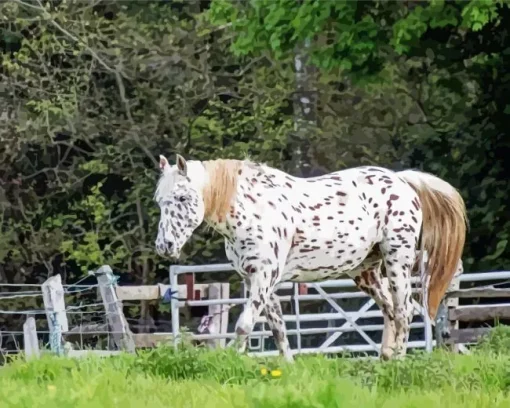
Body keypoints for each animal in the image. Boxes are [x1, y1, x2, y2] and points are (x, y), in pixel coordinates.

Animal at [153, 155, 468, 362]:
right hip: (365, 271)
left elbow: (244, 324)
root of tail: (403, 181)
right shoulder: (258, 280)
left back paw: (398, 362)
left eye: (182, 198)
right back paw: (385, 358)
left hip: (397, 262)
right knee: (391, 310)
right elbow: (278, 329)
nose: (164, 246)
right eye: (159, 201)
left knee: (404, 311)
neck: (251, 209)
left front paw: (232, 361)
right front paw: (286, 367)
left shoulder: (264, 276)